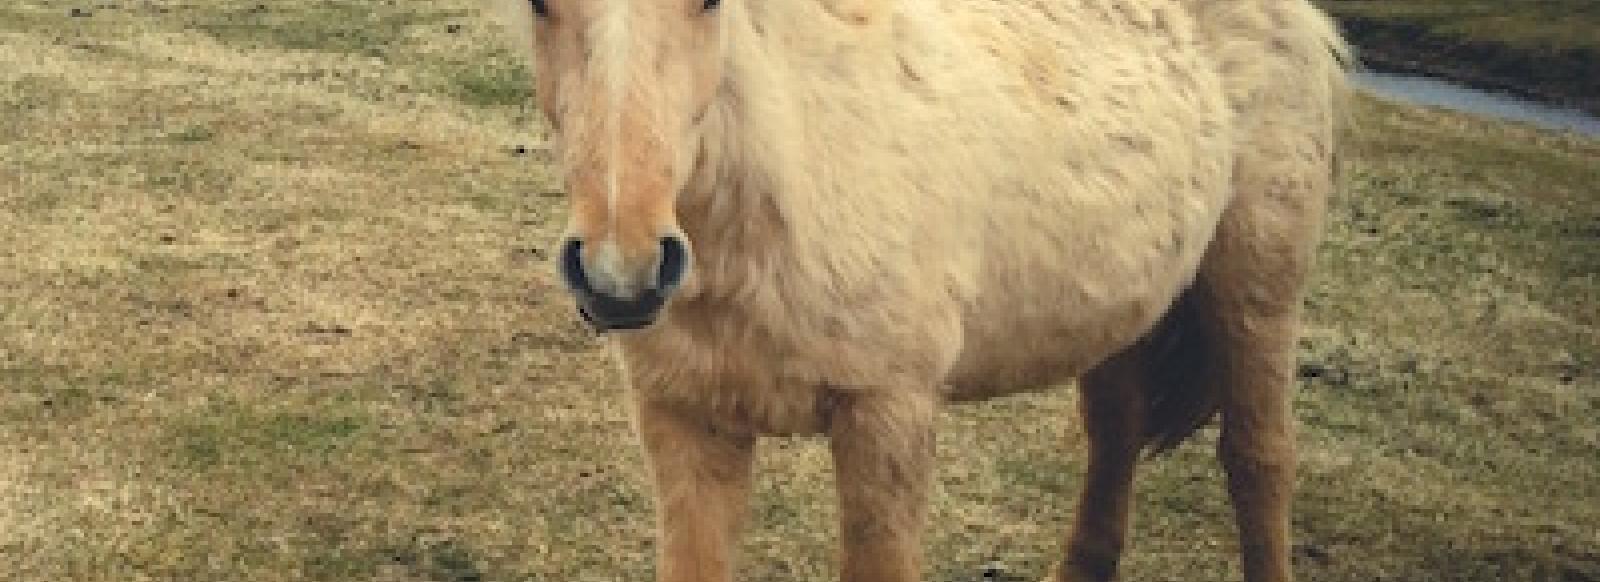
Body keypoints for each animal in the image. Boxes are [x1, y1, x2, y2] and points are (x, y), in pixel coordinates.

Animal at [480, 0, 1344, 578]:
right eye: (539, 3)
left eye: (710, 2)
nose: (621, 271)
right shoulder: (688, 424)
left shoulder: (886, 420)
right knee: (1116, 432)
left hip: (1255, 285)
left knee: (1258, 458)